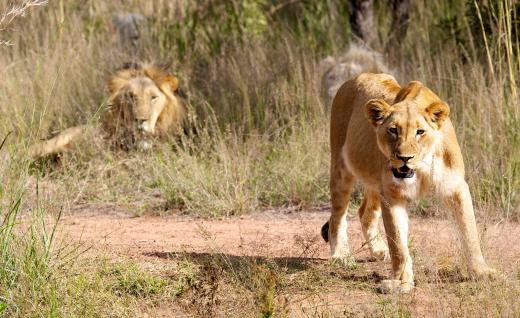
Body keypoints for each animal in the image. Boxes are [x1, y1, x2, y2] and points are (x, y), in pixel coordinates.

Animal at [320, 72, 496, 294]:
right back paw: (341, 255)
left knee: (365, 212)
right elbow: (398, 243)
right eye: (393, 130)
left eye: (420, 132)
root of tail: (359, 76)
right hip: (341, 168)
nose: (405, 158)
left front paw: (482, 272)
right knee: (337, 215)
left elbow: (470, 231)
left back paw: (378, 249)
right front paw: (402, 282)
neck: (421, 166)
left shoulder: (456, 187)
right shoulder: (392, 193)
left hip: (374, 181)